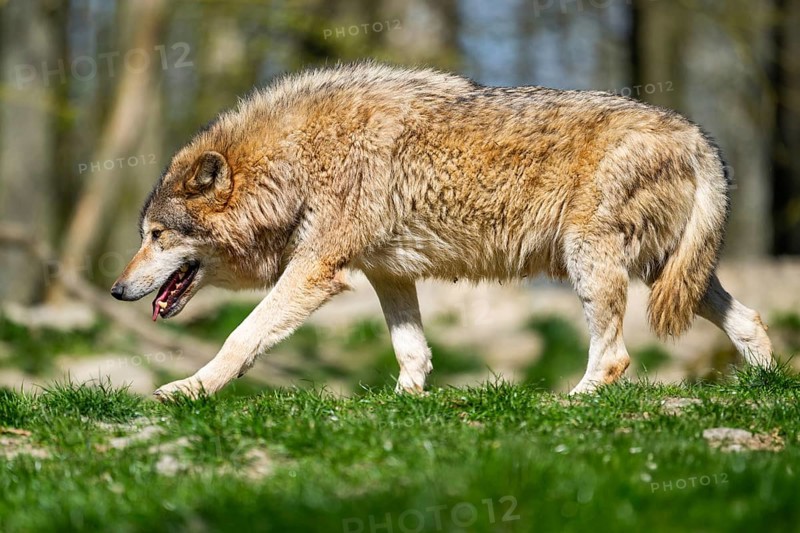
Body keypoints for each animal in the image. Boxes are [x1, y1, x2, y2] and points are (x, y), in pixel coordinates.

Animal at [111, 62, 773, 400]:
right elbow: (413, 349)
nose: (117, 290)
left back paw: (577, 401)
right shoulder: (385, 272)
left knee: (614, 357)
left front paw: (190, 388)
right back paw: (769, 387)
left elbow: (240, 337)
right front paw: (406, 403)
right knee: (751, 320)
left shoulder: (316, 271)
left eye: (156, 236)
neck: (293, 165)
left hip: (594, 263)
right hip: (670, 275)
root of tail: (696, 136)